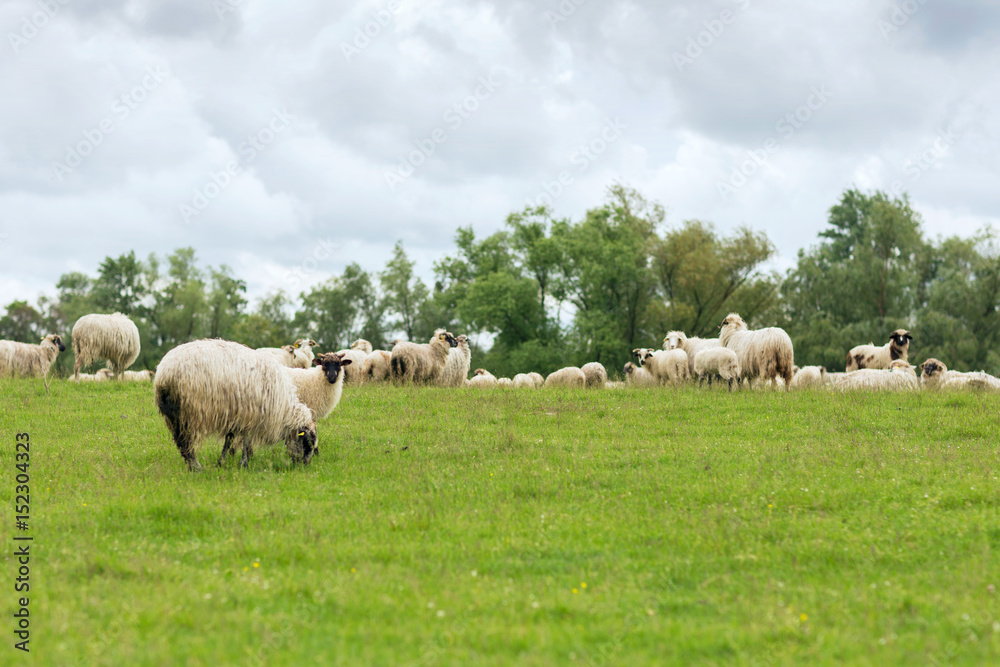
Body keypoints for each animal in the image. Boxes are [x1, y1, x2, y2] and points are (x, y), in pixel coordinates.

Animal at [154, 339, 318, 471]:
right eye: (307, 442)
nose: (304, 465)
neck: (282, 407)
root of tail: (164, 374)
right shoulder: (249, 415)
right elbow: (245, 440)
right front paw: (243, 463)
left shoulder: (235, 416)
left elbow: (229, 439)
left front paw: (221, 462)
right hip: (188, 412)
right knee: (185, 442)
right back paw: (196, 467)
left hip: (172, 415)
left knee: (180, 441)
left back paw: (192, 466)